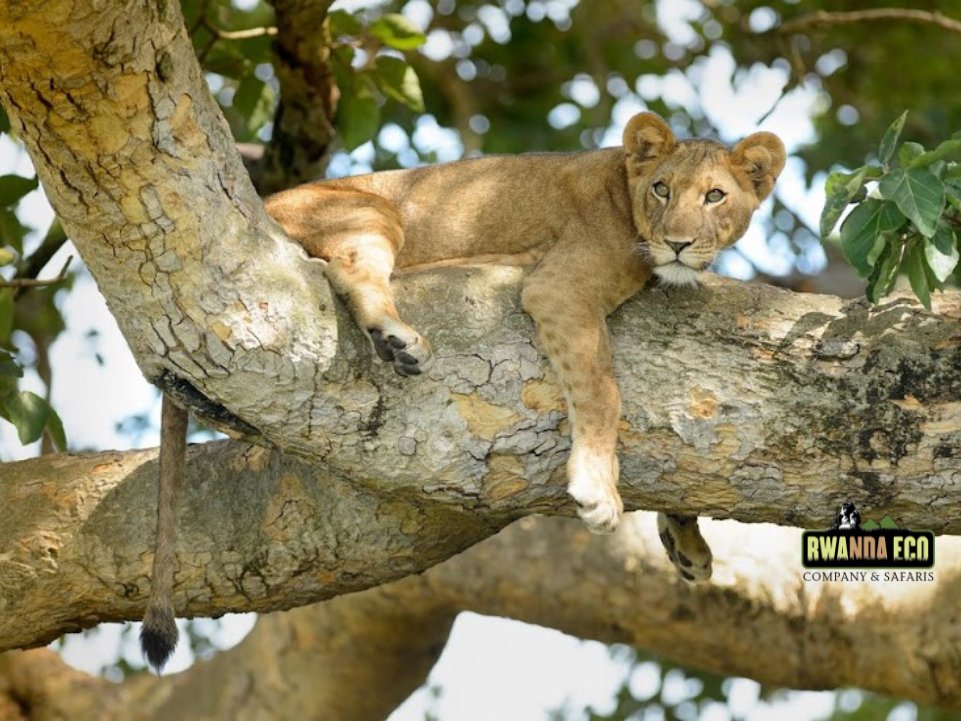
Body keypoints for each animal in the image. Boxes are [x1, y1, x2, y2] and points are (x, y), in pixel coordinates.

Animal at [141, 112, 784, 669]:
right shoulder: (560, 289)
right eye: (661, 189)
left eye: (715, 197)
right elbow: (603, 391)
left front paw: (687, 543)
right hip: (372, 209)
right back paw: (399, 339)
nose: (678, 243)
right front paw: (598, 489)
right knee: (348, 269)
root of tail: (262, 203)